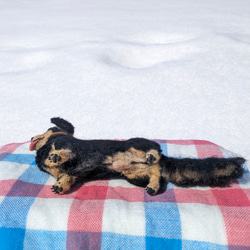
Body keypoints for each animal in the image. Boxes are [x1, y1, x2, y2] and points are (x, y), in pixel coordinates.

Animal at [30, 117, 245, 195]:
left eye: (46, 128)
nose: (31, 137)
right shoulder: (72, 174)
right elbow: (66, 177)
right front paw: (60, 186)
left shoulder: (71, 148)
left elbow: (64, 152)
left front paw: (55, 157)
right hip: (134, 177)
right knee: (156, 176)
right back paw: (153, 187)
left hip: (136, 143)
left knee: (154, 151)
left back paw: (151, 156)